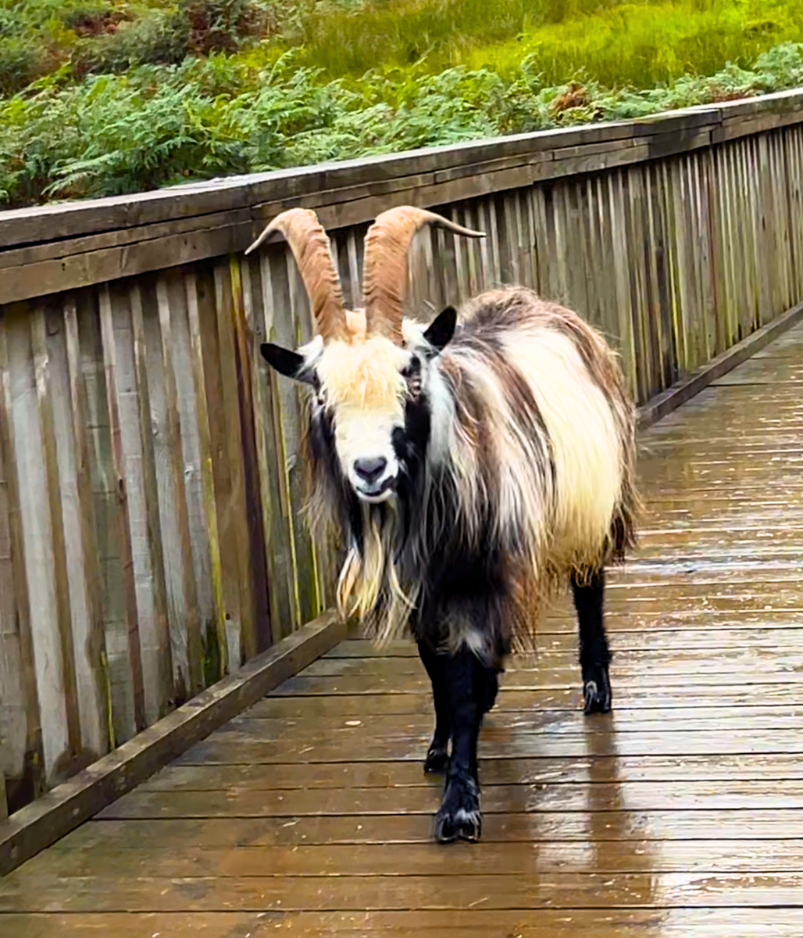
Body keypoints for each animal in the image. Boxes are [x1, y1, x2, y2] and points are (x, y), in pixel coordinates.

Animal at [251, 205, 640, 840]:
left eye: (410, 372)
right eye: (320, 389)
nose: (370, 468)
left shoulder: (480, 574)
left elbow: (462, 682)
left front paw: (459, 807)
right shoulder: (424, 589)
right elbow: (437, 669)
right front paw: (439, 748)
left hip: (592, 507)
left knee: (589, 586)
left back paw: (595, 688)